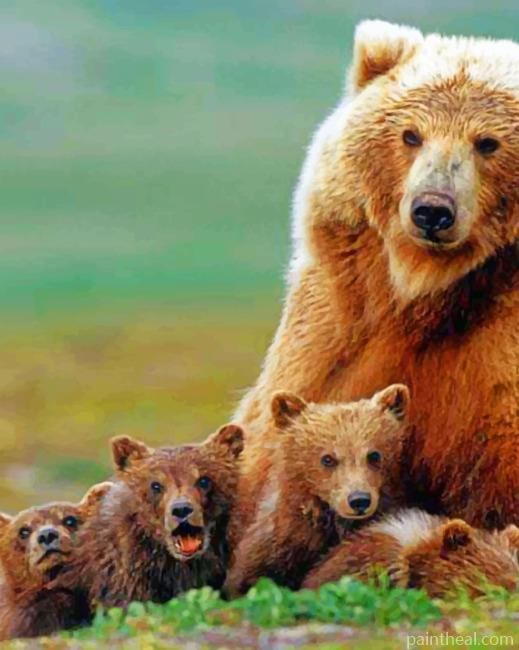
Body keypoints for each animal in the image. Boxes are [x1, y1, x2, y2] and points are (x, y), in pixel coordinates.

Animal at [234, 20, 519, 529]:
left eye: (487, 142)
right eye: (411, 135)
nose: (432, 209)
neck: (422, 289)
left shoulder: (496, 360)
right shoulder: (336, 330)